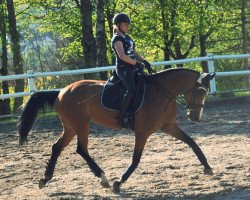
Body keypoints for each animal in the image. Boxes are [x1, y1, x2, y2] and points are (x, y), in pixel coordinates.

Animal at [19, 68, 215, 192]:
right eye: (200, 91)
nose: (195, 116)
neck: (160, 93)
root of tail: (61, 92)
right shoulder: (142, 132)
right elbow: (136, 160)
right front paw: (119, 182)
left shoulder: (168, 126)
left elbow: (191, 142)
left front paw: (207, 167)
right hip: (81, 124)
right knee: (81, 149)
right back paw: (103, 177)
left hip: (71, 127)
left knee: (57, 148)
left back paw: (45, 179)